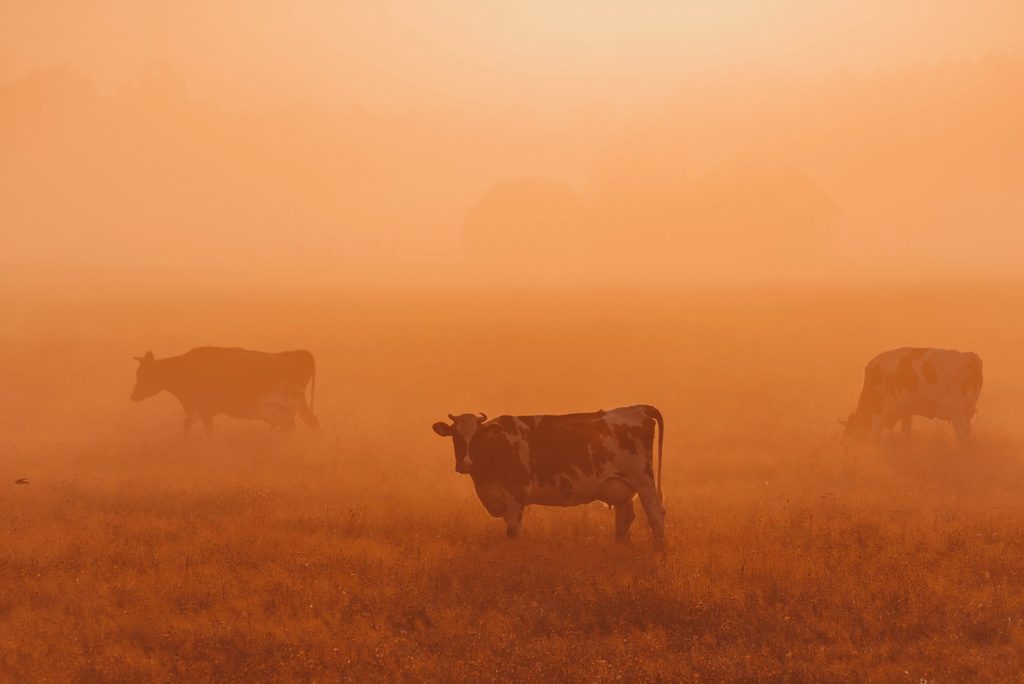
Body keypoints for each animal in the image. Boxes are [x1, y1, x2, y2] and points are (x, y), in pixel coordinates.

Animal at [131, 348, 319, 432]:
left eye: (143, 374)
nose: (133, 396)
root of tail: (297, 352)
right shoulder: (196, 410)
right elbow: (186, 426)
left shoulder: (204, 408)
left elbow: (208, 431)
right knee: (311, 423)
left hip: (290, 404)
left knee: (300, 425)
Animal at [430, 403, 663, 548]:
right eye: (455, 436)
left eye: (477, 436)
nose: (465, 464)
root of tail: (640, 408)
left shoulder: (515, 495)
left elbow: (513, 532)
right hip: (621, 487)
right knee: (624, 520)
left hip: (644, 481)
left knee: (656, 516)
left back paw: (659, 551)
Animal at [839, 350, 983, 440]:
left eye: (849, 431)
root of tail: (968, 356)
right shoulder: (906, 412)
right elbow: (905, 433)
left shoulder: (879, 412)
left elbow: (875, 434)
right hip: (967, 412)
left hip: (956, 410)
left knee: (962, 432)